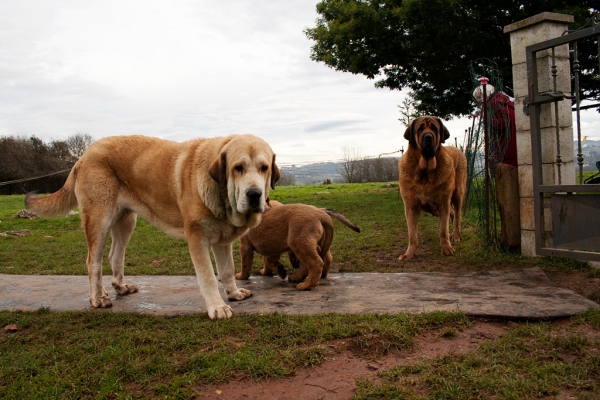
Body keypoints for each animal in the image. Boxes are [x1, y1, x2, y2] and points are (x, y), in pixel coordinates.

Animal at [26, 134, 282, 318]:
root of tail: (83, 155)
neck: (222, 195)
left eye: (264, 168)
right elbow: (208, 276)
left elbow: (227, 270)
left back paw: (119, 287)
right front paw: (217, 307)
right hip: (99, 219)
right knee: (93, 261)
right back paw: (97, 298)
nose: (254, 194)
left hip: (126, 221)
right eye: (238, 168)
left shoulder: (222, 240)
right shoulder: (197, 238)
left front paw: (234, 294)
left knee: (114, 255)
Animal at [398, 115, 468, 262]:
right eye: (420, 129)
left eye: (434, 128)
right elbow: (412, 235)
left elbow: (443, 230)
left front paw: (447, 248)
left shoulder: (443, 203)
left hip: (458, 193)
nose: (428, 137)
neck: (425, 172)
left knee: (457, 215)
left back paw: (456, 235)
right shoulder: (411, 206)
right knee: (453, 214)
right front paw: (409, 254)